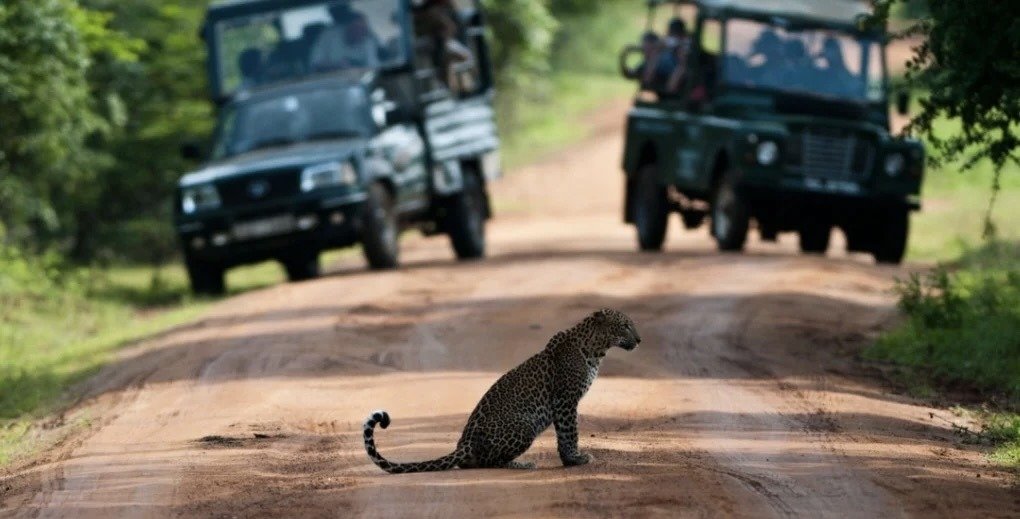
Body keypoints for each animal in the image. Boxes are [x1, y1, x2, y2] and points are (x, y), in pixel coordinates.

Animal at [362, 309, 641, 474]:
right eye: (625, 325)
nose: (639, 340)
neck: (596, 349)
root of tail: (463, 444)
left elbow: (566, 433)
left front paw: (570, 459)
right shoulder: (565, 400)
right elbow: (569, 433)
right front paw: (574, 459)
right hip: (525, 425)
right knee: (491, 461)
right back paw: (522, 463)